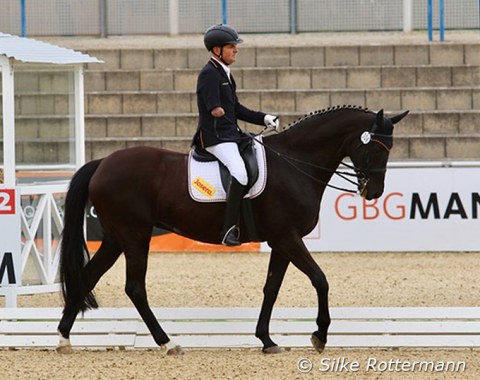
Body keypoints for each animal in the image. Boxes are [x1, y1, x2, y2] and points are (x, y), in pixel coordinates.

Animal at [57, 105, 408, 354]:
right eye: (377, 148)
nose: (374, 193)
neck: (295, 163)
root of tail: (102, 163)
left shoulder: (281, 241)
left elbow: (271, 288)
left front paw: (267, 340)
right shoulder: (288, 236)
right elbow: (320, 279)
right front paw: (319, 335)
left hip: (116, 238)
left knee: (88, 277)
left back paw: (63, 338)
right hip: (135, 236)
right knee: (135, 288)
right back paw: (167, 342)